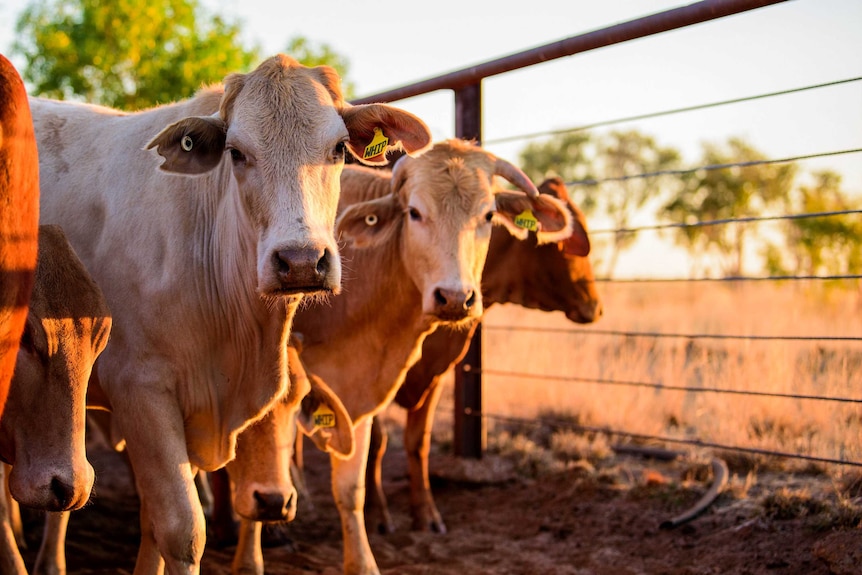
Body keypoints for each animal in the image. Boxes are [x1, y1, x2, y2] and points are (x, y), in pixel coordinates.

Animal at [31, 51, 436, 572]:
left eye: (339, 150)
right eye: (237, 153)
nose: (300, 261)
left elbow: (152, 523)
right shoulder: (140, 391)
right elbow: (182, 530)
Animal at [362, 177, 600, 536]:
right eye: (568, 244)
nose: (597, 306)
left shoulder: (435, 375)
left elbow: (418, 443)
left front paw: (426, 514)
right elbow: (376, 443)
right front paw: (377, 514)